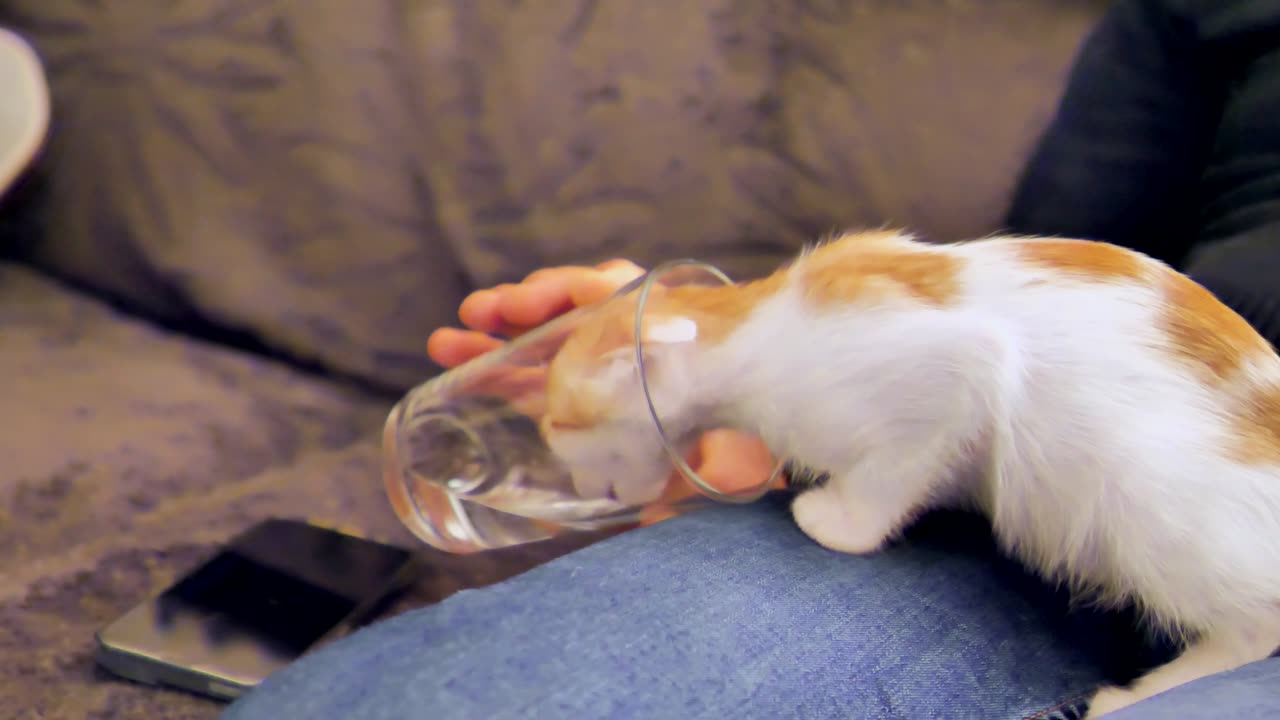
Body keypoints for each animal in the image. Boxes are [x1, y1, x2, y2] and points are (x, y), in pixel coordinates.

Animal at [535, 226, 1280, 712]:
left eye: (555, 427)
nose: (574, 488)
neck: (751, 332)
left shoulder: (959, 367)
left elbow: (891, 476)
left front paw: (834, 522)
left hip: (1147, 501)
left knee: (1256, 626)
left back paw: (1134, 696)